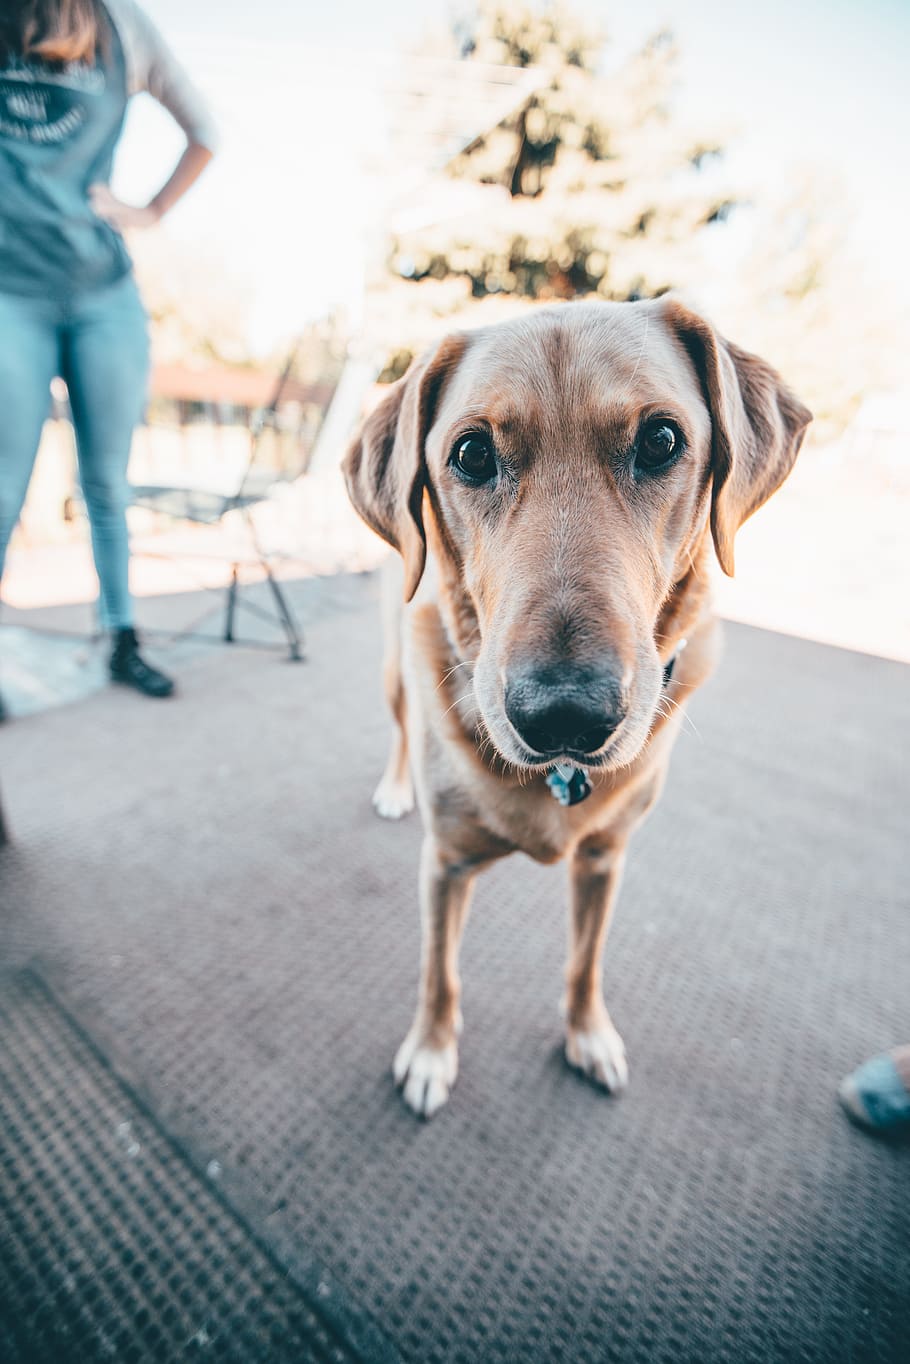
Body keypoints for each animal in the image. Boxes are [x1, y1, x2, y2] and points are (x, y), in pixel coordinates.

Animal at [343, 298, 813, 1118]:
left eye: (661, 441)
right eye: (472, 454)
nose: (563, 713)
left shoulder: (605, 860)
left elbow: (585, 962)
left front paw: (588, 1035)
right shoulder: (445, 865)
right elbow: (440, 974)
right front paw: (431, 1053)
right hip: (393, 666)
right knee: (401, 728)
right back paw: (397, 787)